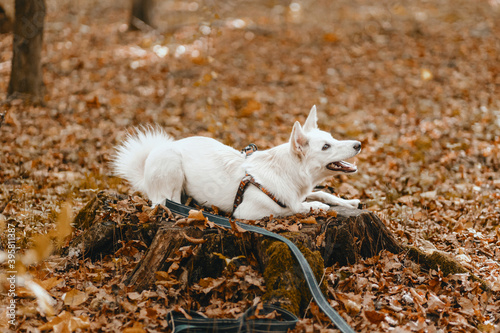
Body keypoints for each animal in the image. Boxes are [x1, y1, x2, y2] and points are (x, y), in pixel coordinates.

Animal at [112, 106, 362, 219]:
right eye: (326, 147)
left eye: (332, 138)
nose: (359, 144)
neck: (286, 171)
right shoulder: (248, 212)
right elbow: (292, 208)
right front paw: (317, 207)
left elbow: (322, 193)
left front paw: (348, 202)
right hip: (171, 164)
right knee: (166, 203)